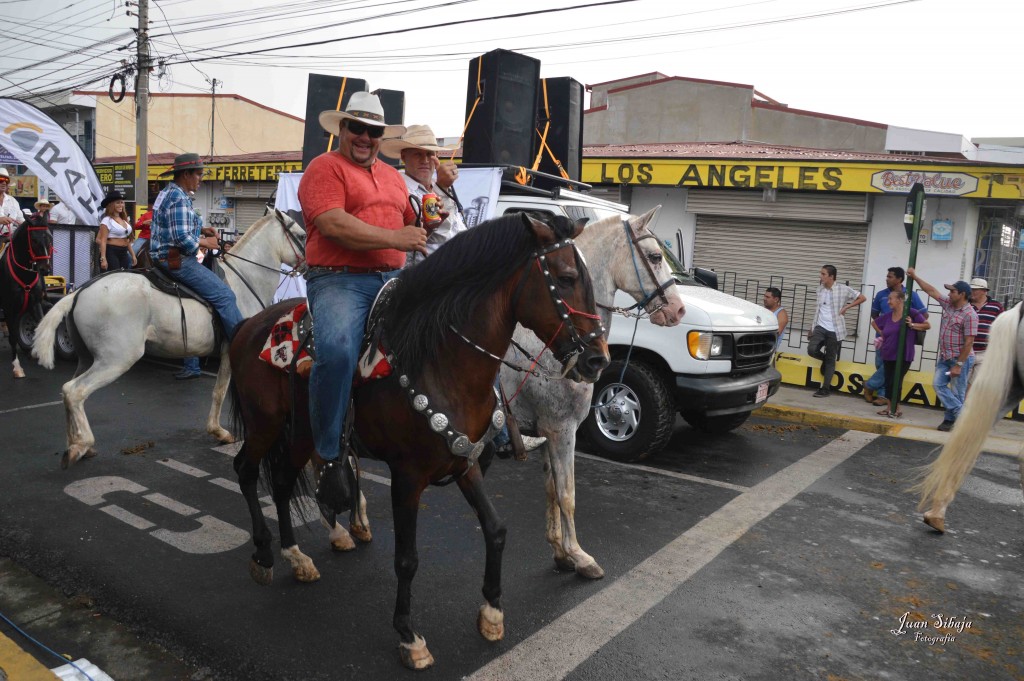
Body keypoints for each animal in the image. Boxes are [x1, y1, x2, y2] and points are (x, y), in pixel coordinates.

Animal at [32, 210, 303, 466]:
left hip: (87, 359)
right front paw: (220, 432)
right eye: (301, 235)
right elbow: (221, 391)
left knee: (68, 392)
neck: (245, 280)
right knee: (75, 391)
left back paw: (76, 444)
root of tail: (79, 292)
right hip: (115, 360)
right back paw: (82, 445)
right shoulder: (232, 352)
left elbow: (218, 390)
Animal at [230, 210, 606, 663]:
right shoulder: (407, 477)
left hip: (300, 433)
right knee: (247, 471)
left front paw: (492, 612)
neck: (442, 361)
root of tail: (249, 324)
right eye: (566, 278)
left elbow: (496, 530)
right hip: (265, 425)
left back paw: (297, 556)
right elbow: (407, 559)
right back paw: (265, 554)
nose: (598, 359)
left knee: (284, 482)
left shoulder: (464, 463)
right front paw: (409, 635)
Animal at [499, 204, 684, 577]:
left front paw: (560, 552)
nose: (678, 309)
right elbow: (567, 495)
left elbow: (552, 491)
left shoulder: (548, 433)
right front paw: (580, 556)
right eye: (655, 256)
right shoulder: (562, 430)